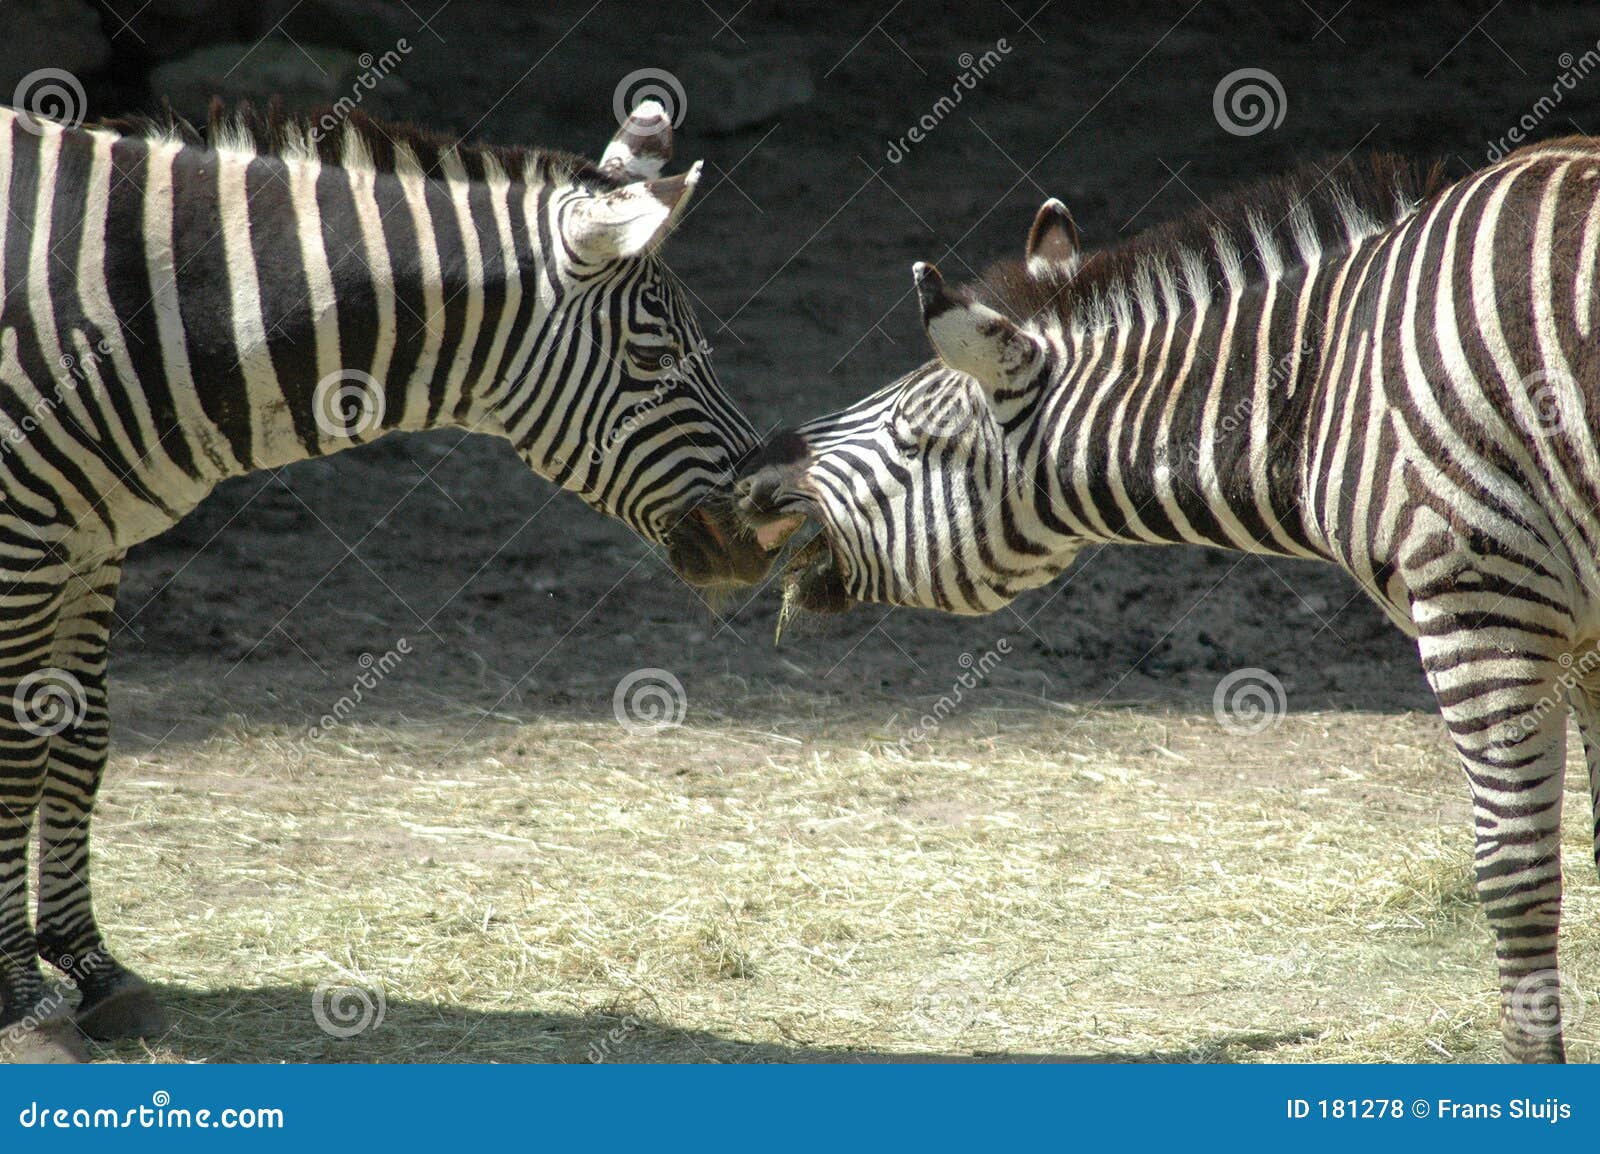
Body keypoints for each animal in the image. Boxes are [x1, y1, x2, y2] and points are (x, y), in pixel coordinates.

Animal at [0, 96, 771, 1063]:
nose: (760, 532)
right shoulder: (25, 535)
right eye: (654, 360)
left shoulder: (92, 538)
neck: (151, 301)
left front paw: (98, 971)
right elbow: (17, 752)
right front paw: (24, 1007)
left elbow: (81, 735)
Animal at [737, 141, 1600, 1062]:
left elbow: (1514, 877)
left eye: (910, 433)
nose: (747, 475)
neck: (1325, 383)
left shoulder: (1484, 608)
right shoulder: (1584, 642)